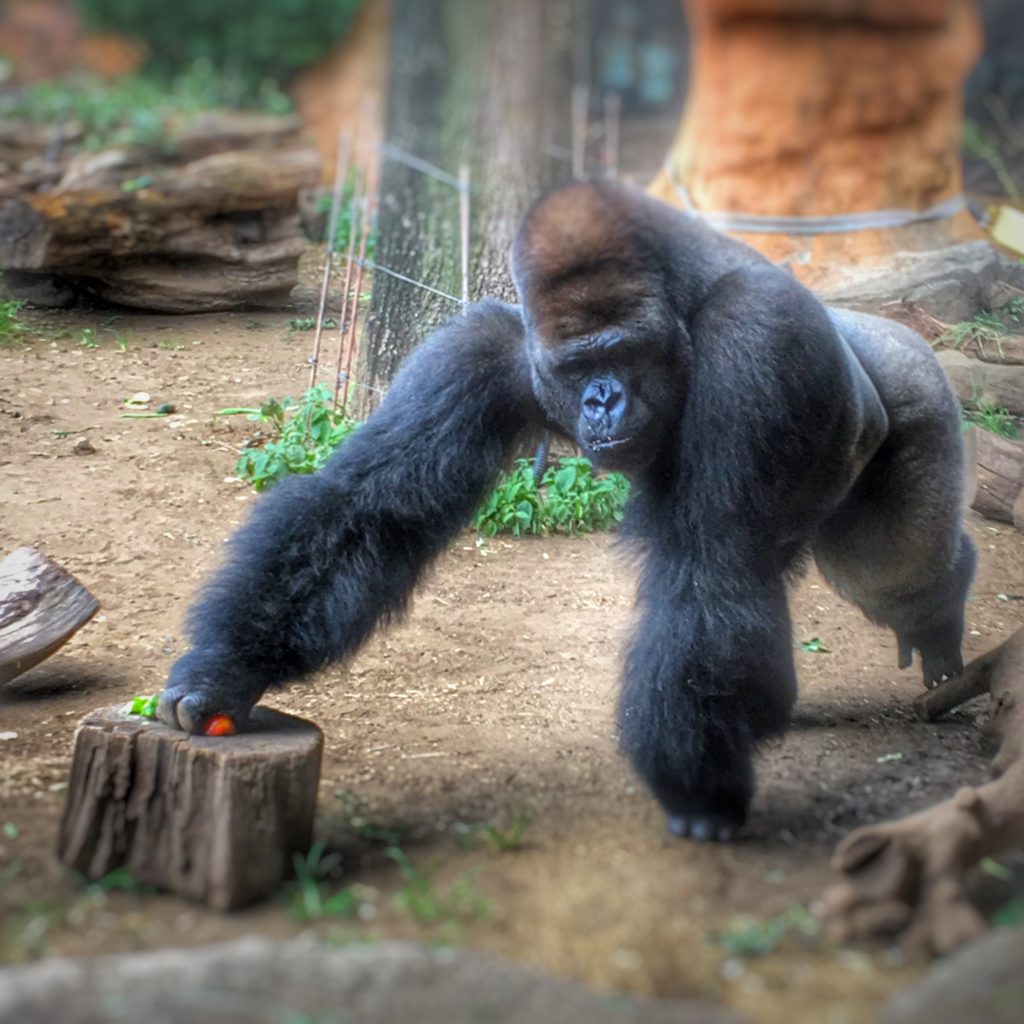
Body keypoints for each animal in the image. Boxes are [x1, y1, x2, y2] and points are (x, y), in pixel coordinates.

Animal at [159, 180, 974, 843]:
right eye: (580, 365)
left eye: (625, 352)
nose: (603, 400)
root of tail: (883, 326)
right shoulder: (483, 348)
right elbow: (373, 508)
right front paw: (230, 670)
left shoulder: (757, 336)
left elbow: (709, 561)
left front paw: (700, 791)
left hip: (919, 389)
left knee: (894, 563)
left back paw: (941, 609)